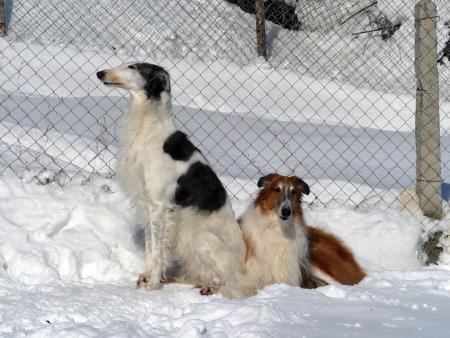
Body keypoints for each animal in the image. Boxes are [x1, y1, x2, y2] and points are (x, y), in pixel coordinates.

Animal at [96, 62, 253, 298]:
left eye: (133, 66)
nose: (100, 73)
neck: (150, 127)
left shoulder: (159, 205)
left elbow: (157, 250)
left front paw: (153, 284)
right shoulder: (148, 203)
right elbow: (151, 247)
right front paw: (148, 276)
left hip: (198, 237)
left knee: (226, 281)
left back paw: (211, 286)